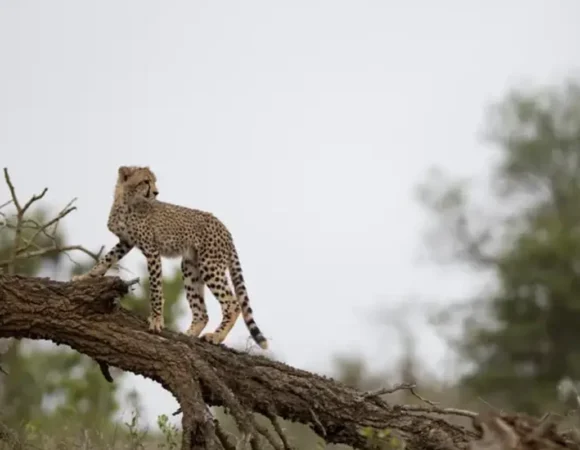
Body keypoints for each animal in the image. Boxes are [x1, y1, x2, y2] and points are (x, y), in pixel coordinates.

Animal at [73, 165, 270, 348]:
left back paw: (216, 336)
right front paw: (85, 277)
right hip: (190, 267)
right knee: (202, 313)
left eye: (153, 181)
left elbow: (156, 288)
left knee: (233, 304)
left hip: (209, 265)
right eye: (146, 181)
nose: (156, 192)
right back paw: (189, 334)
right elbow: (105, 260)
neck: (127, 200)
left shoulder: (151, 251)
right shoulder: (125, 243)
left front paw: (156, 320)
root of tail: (224, 228)